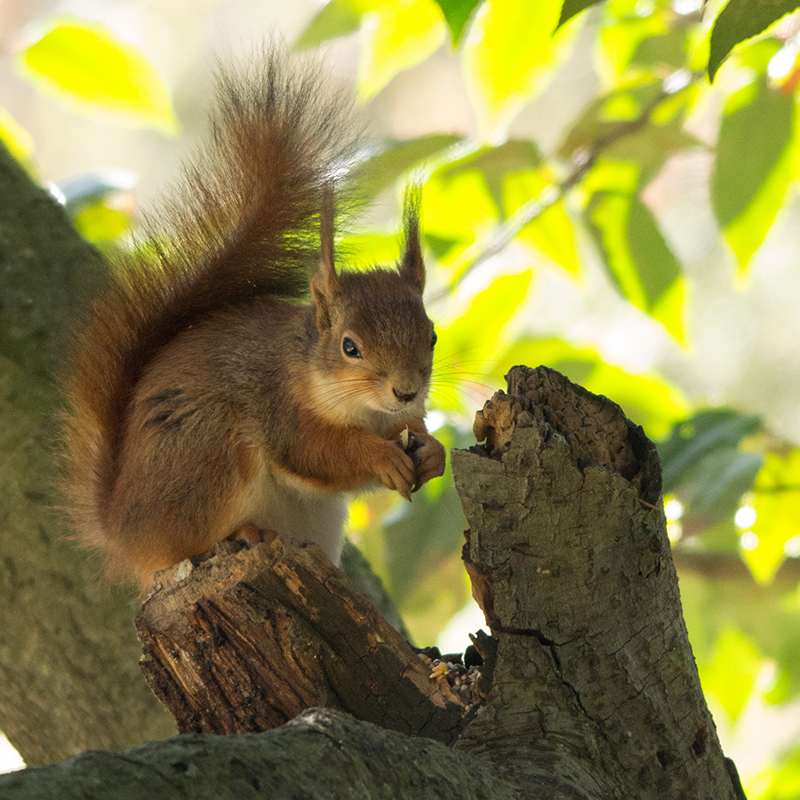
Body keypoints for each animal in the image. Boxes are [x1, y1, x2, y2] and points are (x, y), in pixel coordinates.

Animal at [61, 48, 450, 588]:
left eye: (431, 337)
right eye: (349, 346)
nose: (407, 390)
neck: (364, 409)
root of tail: (122, 530)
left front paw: (433, 452)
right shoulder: (279, 404)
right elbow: (316, 452)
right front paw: (377, 455)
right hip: (210, 448)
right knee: (182, 546)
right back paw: (242, 533)